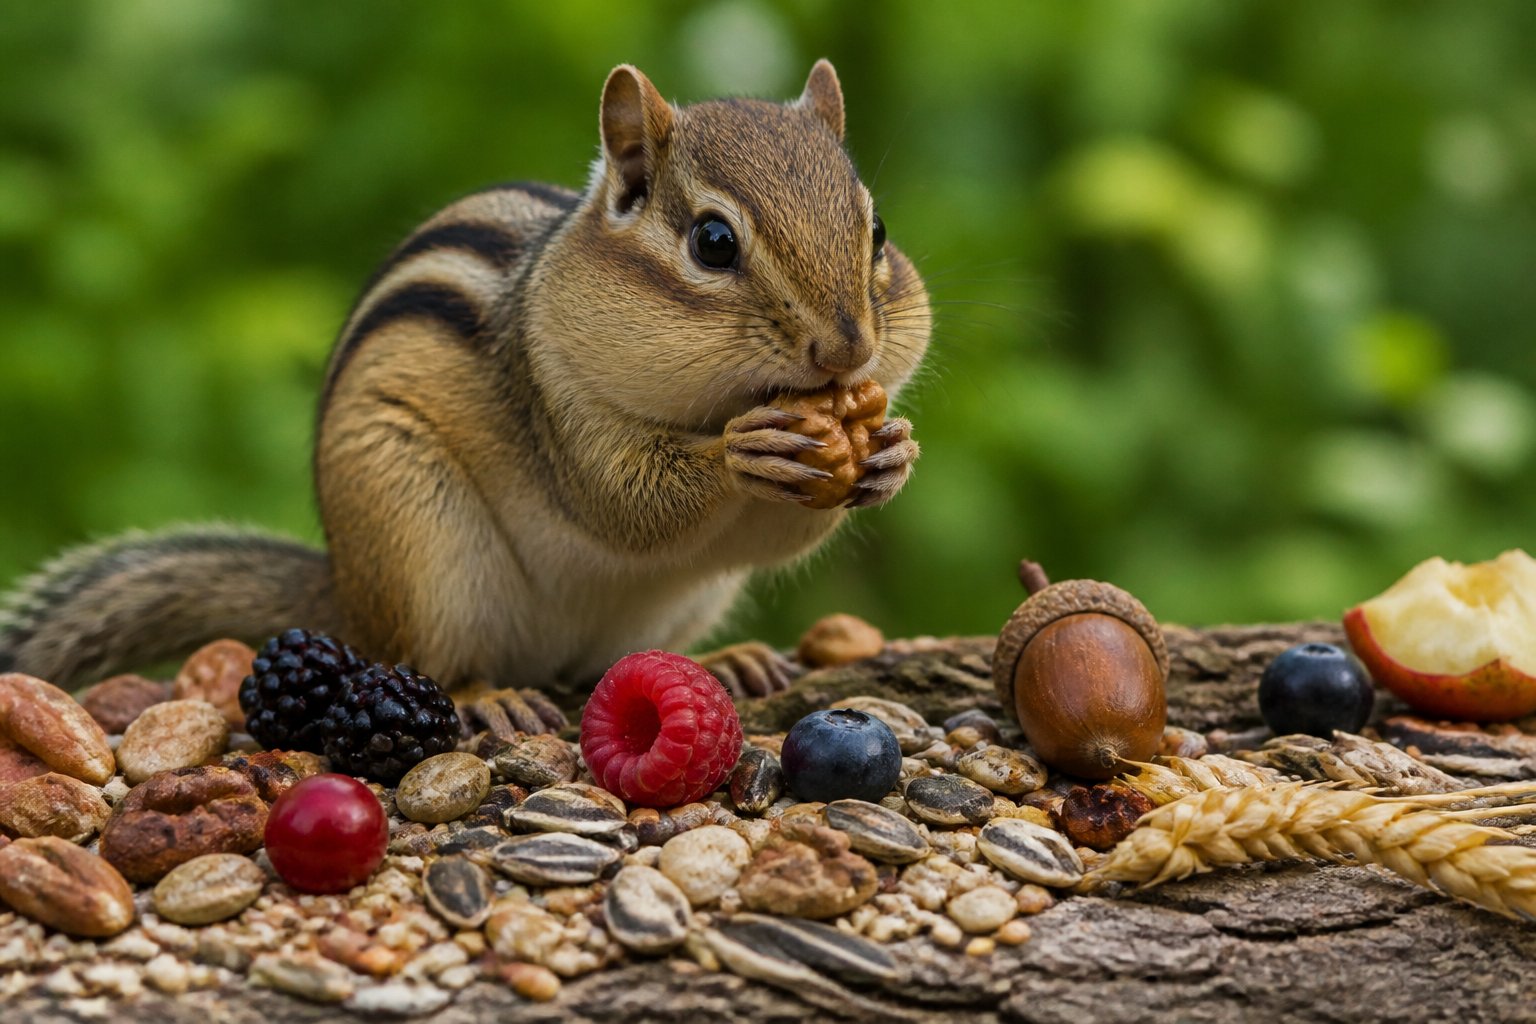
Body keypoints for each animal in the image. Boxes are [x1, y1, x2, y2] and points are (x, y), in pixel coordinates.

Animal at [0, 61, 931, 698]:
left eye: (879, 230)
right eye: (712, 242)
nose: (847, 350)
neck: (713, 399)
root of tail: (346, 593)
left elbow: (779, 536)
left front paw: (891, 451)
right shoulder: (553, 393)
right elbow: (624, 503)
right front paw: (748, 448)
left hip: (678, 603)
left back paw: (729, 662)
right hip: (416, 541)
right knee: (432, 663)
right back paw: (490, 701)